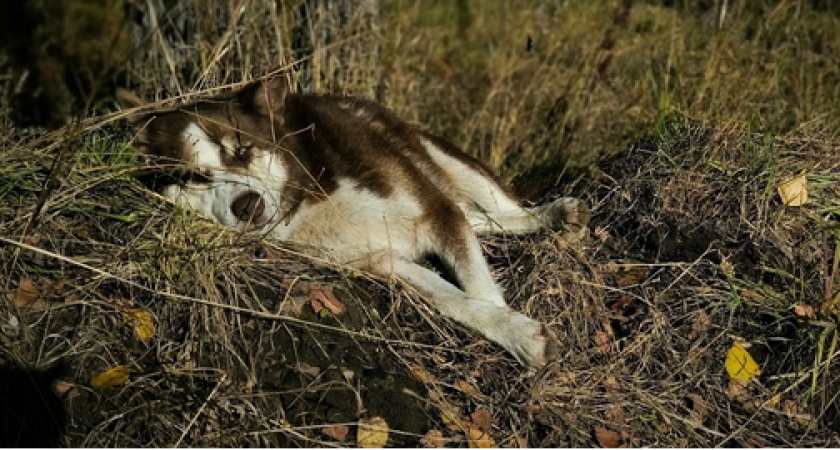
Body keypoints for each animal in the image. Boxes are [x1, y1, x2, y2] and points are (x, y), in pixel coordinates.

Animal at [116, 76, 592, 366]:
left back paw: (555, 213)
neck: (310, 195)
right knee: (477, 218)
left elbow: (479, 286)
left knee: (498, 207)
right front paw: (513, 331)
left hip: (443, 160)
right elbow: (453, 300)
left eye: (243, 149)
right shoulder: (379, 260)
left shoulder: (433, 211)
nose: (247, 205)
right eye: (195, 177)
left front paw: (512, 328)